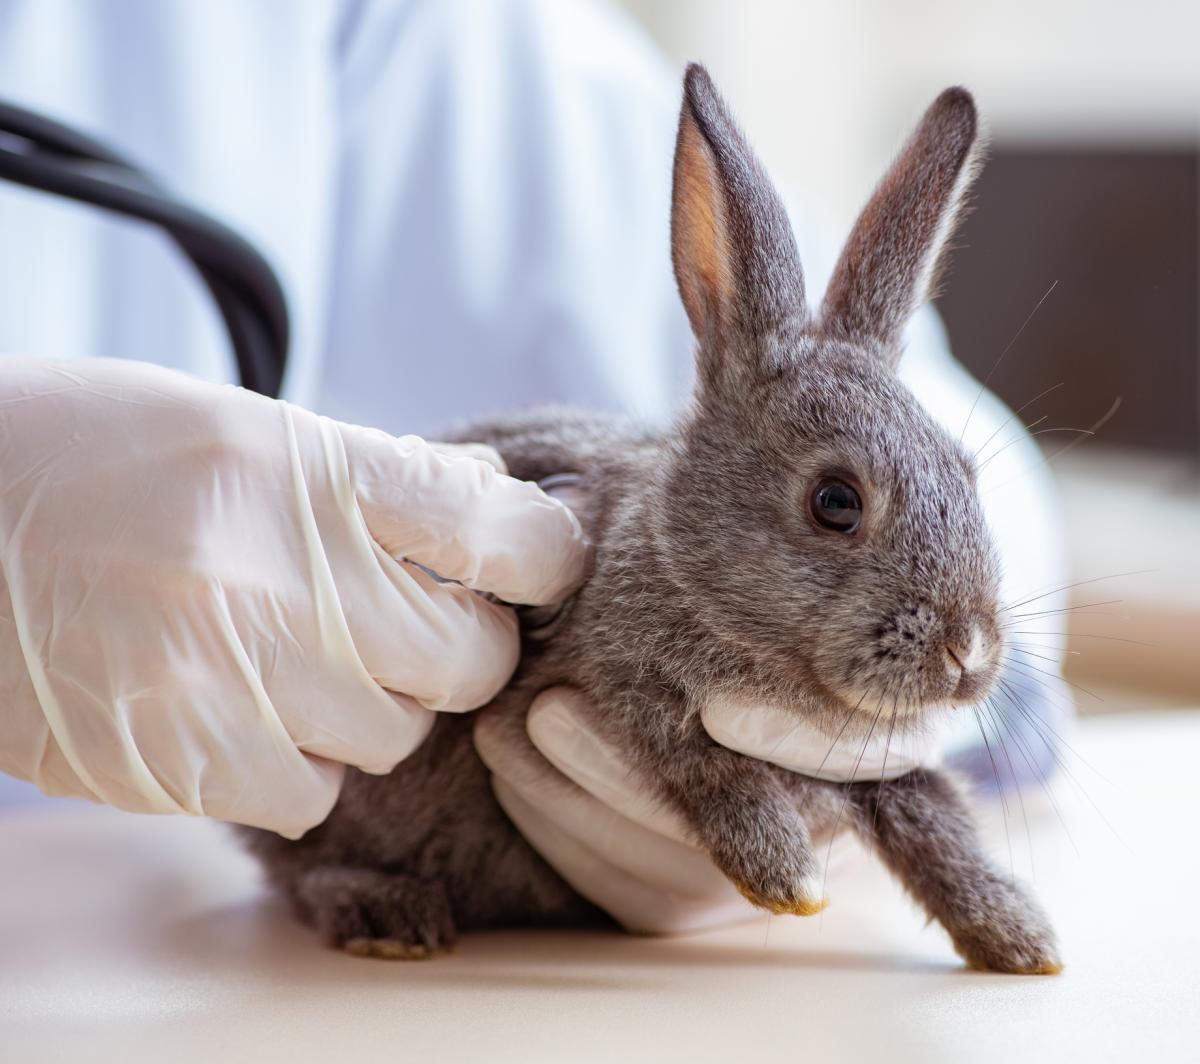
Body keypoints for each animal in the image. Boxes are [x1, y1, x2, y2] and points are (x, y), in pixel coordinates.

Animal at [239, 64, 1061, 975]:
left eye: (967, 471)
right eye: (836, 502)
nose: (970, 652)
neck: (683, 566)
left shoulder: (882, 767)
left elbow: (937, 822)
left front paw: (1019, 939)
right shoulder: (615, 691)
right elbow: (702, 765)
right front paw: (787, 876)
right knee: (297, 863)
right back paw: (385, 912)